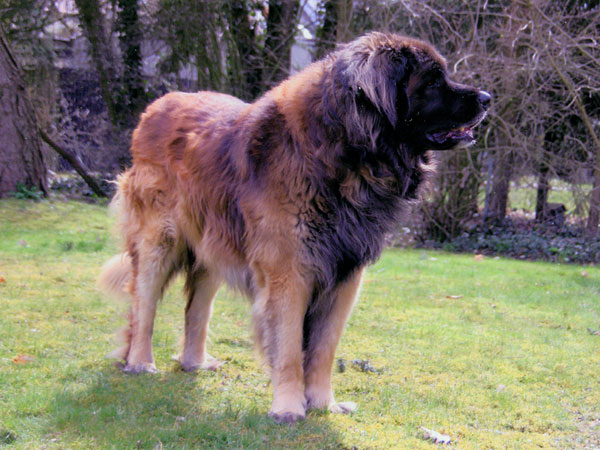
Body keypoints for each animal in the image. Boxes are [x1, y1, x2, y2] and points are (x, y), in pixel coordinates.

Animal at [98, 33, 490, 424]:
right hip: (158, 242)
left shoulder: (345, 276)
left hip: (214, 246)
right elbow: (287, 348)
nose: (487, 98)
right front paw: (288, 407)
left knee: (197, 309)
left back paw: (194, 363)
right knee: (144, 305)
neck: (342, 153)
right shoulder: (289, 274)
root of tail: (154, 108)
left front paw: (323, 403)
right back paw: (140, 362)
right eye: (432, 81)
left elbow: (323, 349)